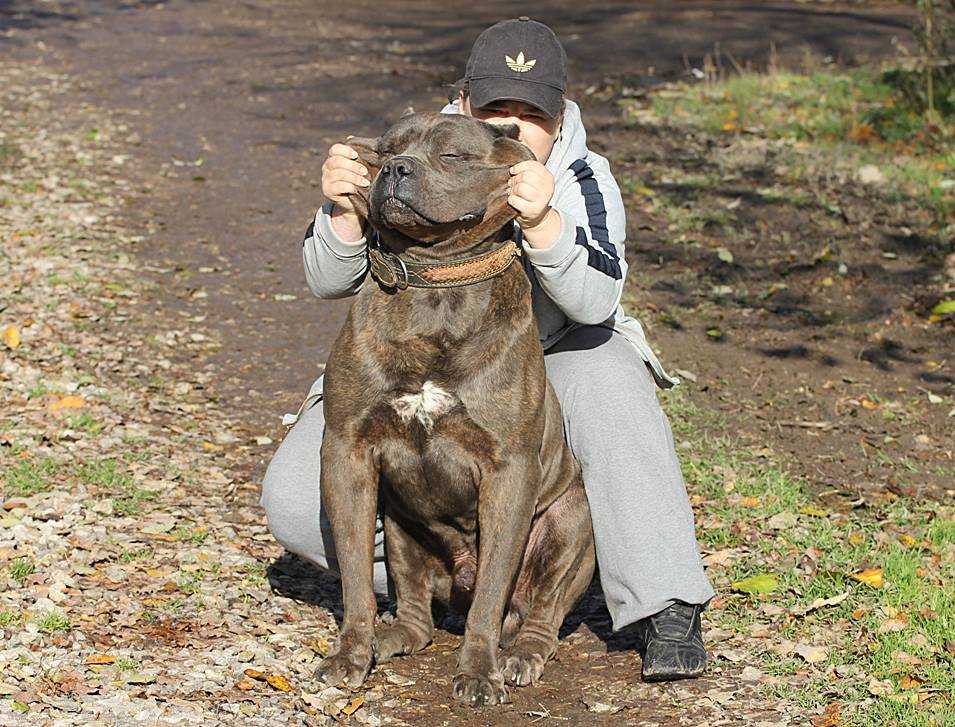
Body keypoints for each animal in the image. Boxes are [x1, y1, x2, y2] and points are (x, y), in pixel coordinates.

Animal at [318, 111, 592, 708]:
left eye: (452, 156)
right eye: (387, 149)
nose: (396, 169)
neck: (435, 283)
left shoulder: (508, 472)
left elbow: (491, 592)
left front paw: (479, 673)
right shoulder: (348, 452)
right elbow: (355, 575)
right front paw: (350, 654)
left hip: (568, 525)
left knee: (541, 611)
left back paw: (520, 656)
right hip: (401, 526)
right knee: (417, 611)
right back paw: (391, 638)